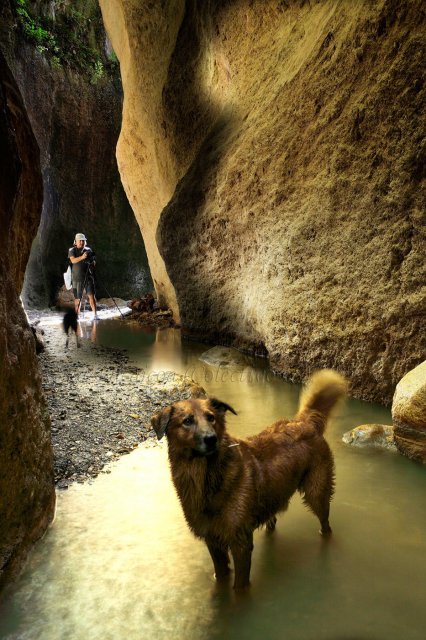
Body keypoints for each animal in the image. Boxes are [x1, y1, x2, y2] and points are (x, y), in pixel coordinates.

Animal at [151, 370, 348, 592]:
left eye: (211, 418)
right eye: (187, 421)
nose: (211, 438)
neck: (207, 478)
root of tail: (305, 422)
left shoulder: (241, 542)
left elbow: (240, 585)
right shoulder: (213, 541)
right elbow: (220, 574)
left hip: (317, 493)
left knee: (325, 523)